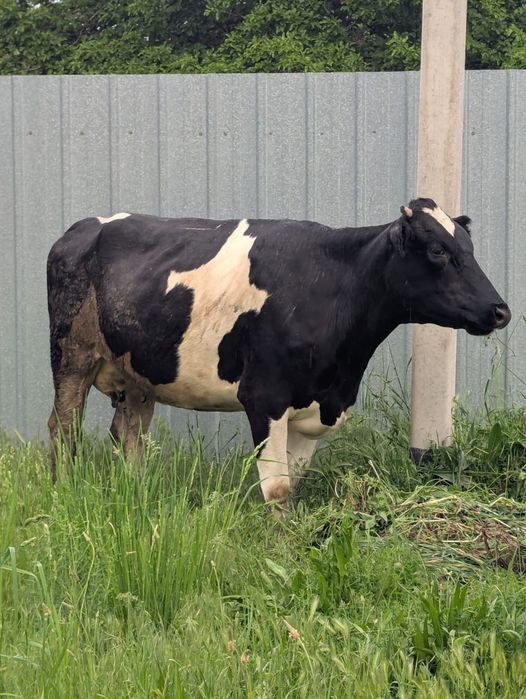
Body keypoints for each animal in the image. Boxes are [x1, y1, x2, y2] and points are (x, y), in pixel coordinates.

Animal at [47, 198, 511, 511]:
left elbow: (294, 483)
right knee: (63, 429)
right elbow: (279, 489)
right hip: (71, 355)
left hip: (137, 376)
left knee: (128, 438)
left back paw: (136, 496)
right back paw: (62, 491)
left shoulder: (312, 408)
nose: (500, 310)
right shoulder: (263, 397)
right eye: (438, 251)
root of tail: (82, 226)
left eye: (470, 249)